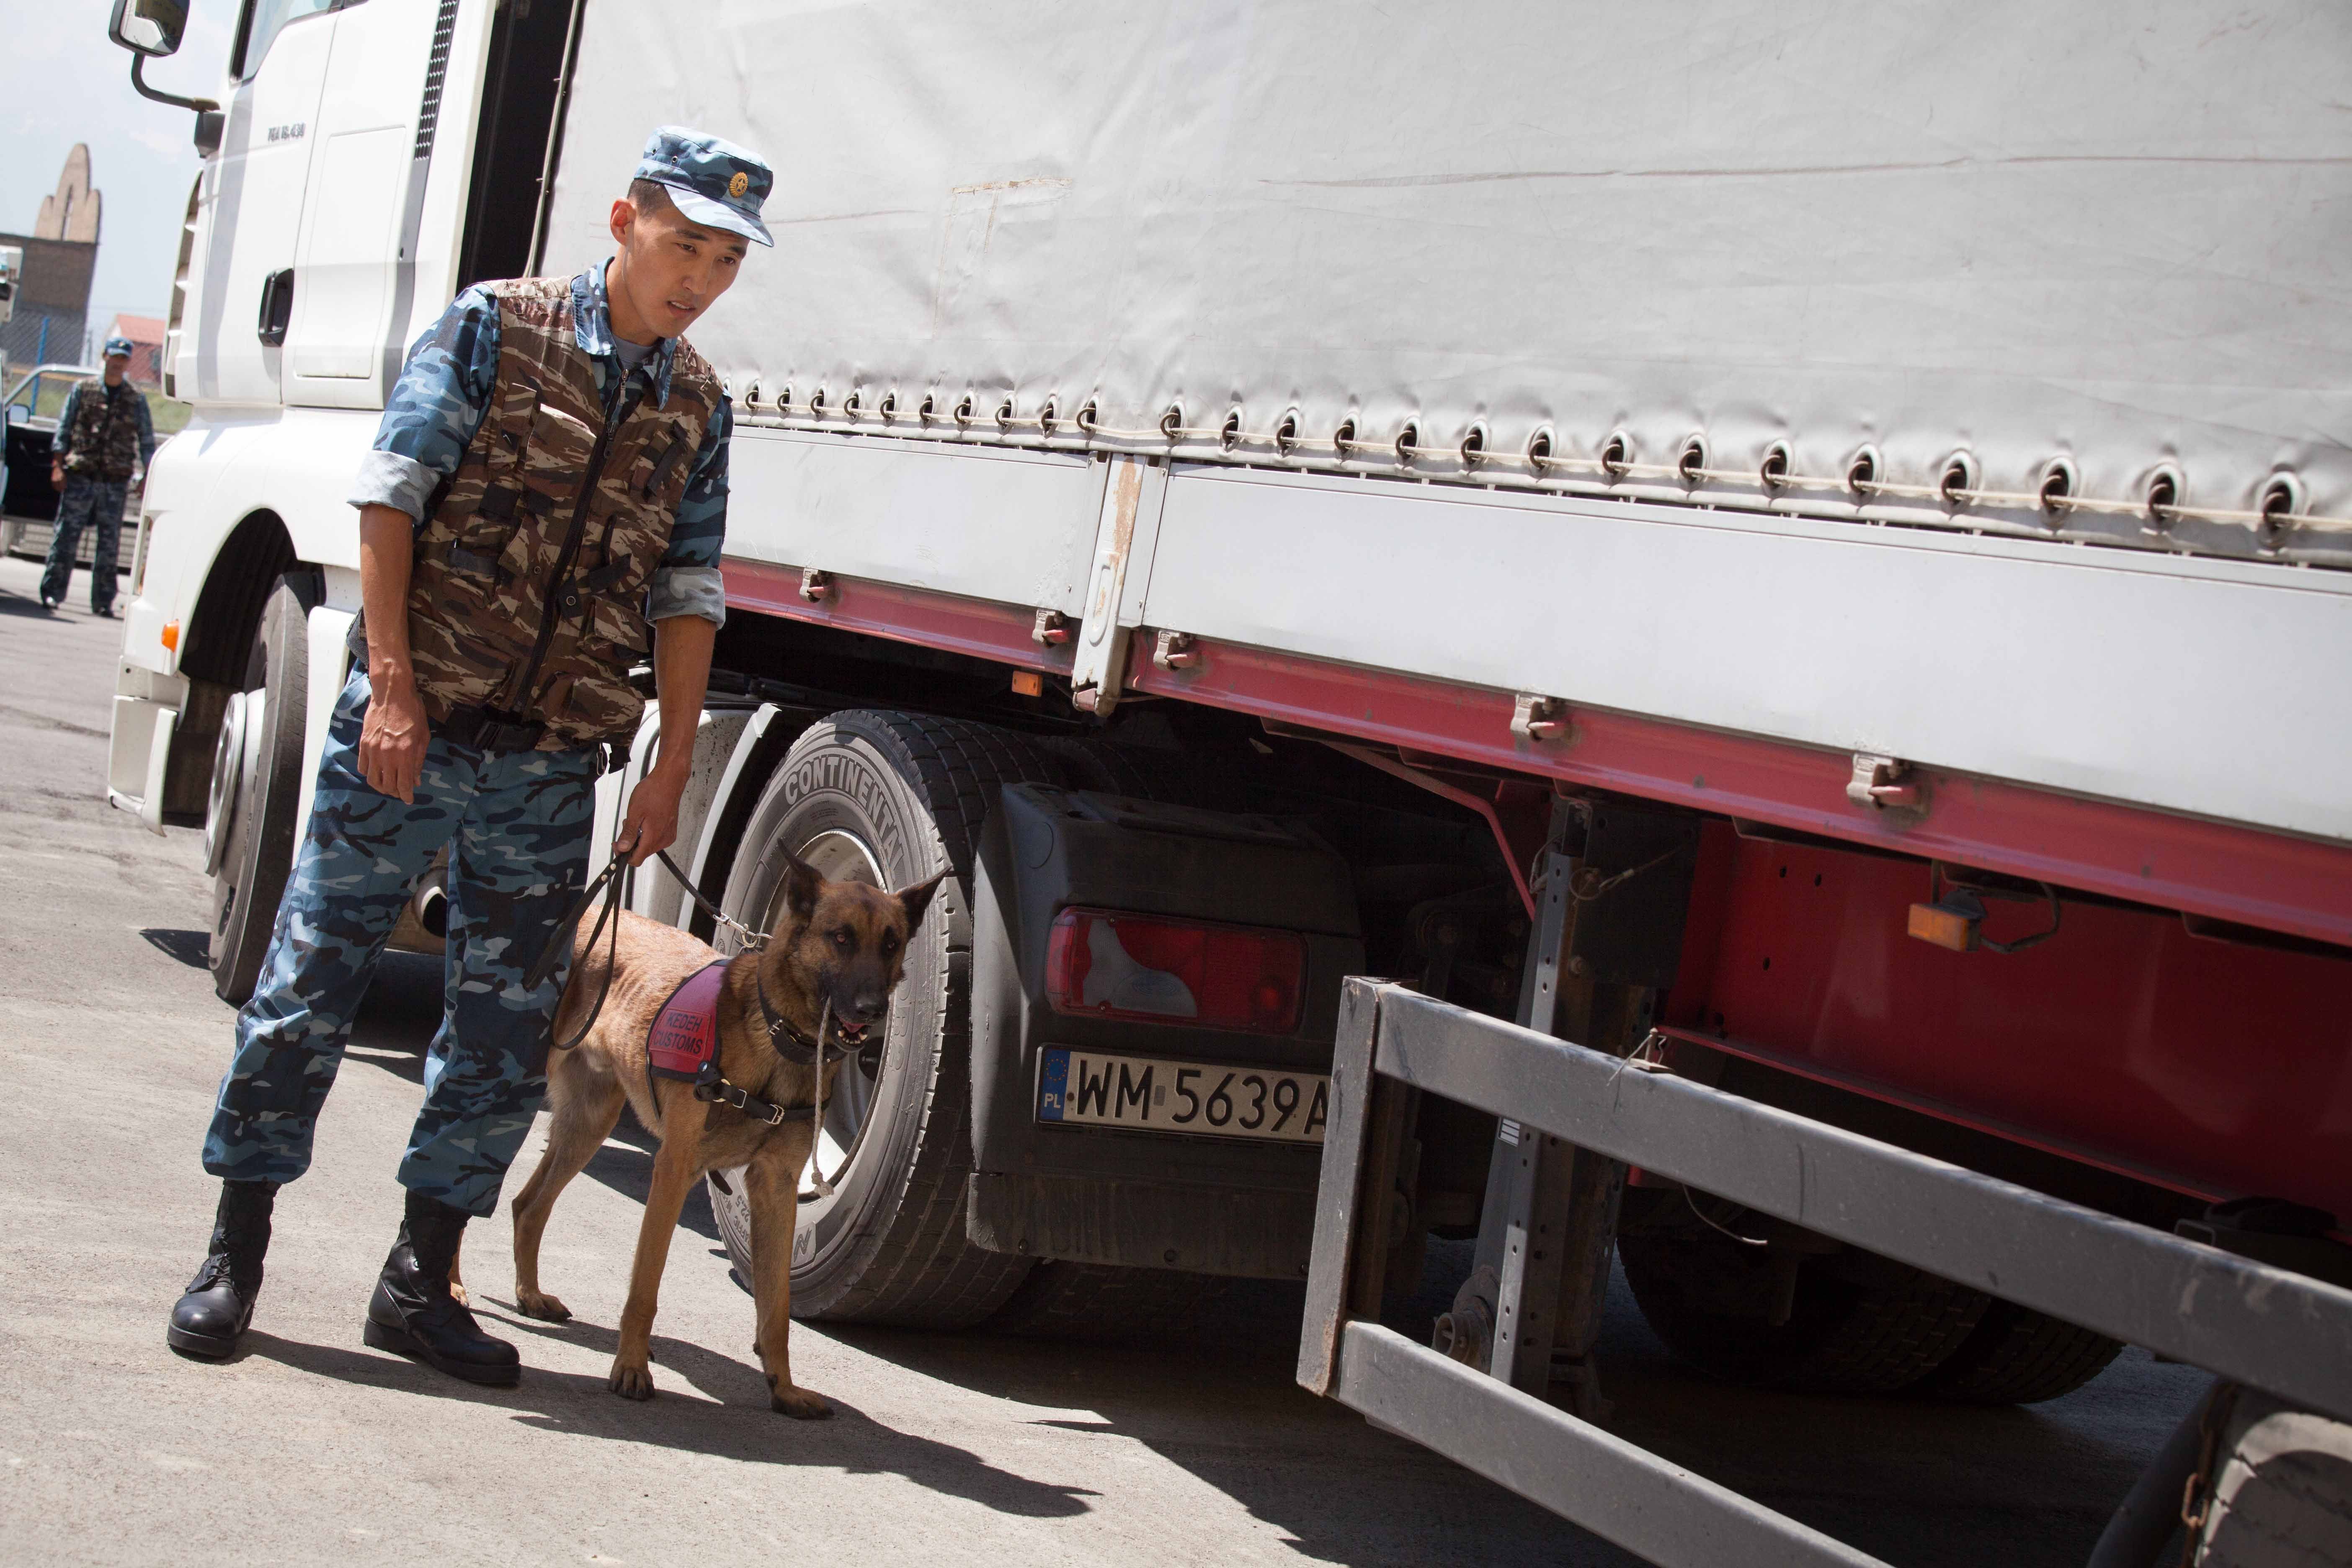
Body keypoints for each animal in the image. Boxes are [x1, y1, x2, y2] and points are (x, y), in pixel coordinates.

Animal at [482, 860, 931, 1420]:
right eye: (841, 937)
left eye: (891, 943)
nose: (873, 1010)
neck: (776, 1037)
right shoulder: (674, 1172)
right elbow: (645, 1286)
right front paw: (631, 1367)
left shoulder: (776, 1191)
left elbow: (776, 1308)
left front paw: (784, 1388)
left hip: (588, 1125)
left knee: (528, 1204)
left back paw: (530, 1294)